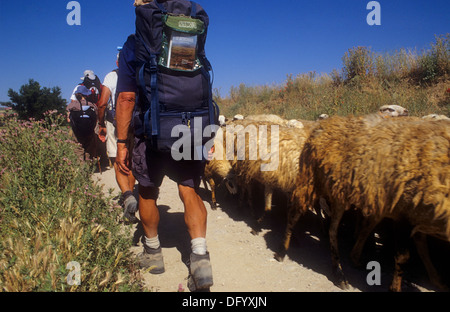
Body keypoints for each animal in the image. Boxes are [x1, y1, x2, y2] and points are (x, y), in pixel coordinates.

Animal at [276, 115, 448, 292]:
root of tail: (322, 125)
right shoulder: (404, 213)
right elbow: (404, 256)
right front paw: (395, 287)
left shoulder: (418, 216)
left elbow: (422, 248)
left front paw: (437, 280)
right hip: (310, 180)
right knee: (295, 213)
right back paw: (283, 251)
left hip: (339, 193)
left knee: (333, 229)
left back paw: (340, 271)